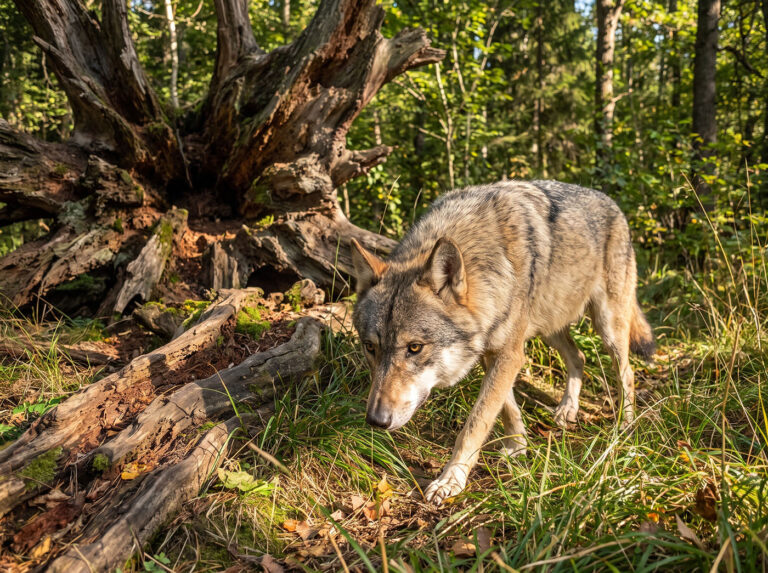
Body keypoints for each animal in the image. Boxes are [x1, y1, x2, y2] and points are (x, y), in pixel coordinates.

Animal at [350, 180, 655, 504]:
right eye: (370, 347)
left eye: (414, 348)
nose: (376, 420)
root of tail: (612, 202)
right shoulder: (495, 352)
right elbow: (506, 406)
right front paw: (519, 447)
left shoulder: (509, 354)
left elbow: (477, 420)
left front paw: (450, 480)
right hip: (551, 327)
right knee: (579, 357)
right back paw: (567, 409)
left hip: (608, 326)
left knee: (627, 372)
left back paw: (625, 424)